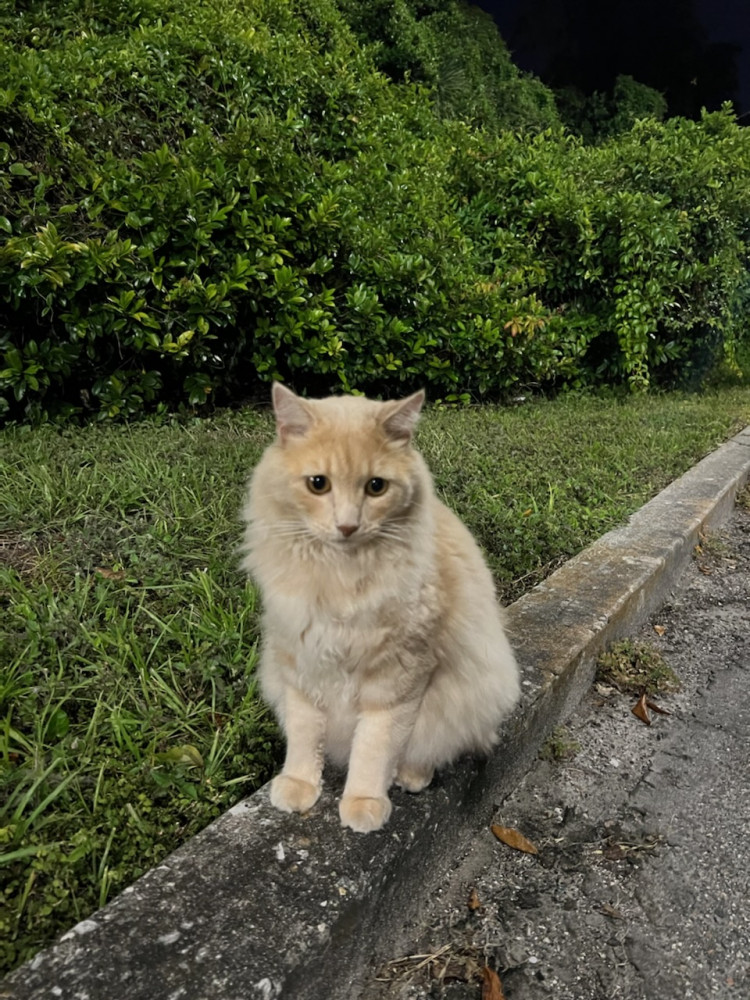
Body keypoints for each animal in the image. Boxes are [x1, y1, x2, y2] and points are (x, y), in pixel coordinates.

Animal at [242, 386, 524, 832]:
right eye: (318, 484)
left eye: (376, 487)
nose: (347, 526)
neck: (340, 579)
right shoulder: (301, 664)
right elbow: (304, 738)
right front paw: (299, 785)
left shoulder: (397, 680)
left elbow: (374, 748)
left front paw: (363, 802)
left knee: (432, 749)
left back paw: (411, 776)